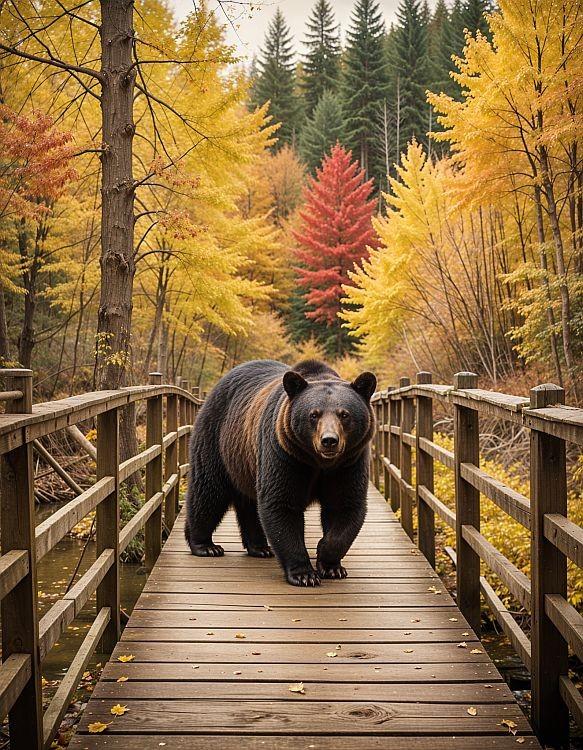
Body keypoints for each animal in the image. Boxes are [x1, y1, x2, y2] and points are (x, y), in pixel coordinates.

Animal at [184, 359, 377, 586]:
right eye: (314, 414)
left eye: (344, 414)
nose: (329, 440)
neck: (319, 462)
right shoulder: (285, 455)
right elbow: (281, 504)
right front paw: (304, 574)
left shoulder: (348, 463)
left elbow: (345, 506)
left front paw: (330, 563)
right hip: (217, 439)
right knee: (208, 491)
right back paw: (205, 545)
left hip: (245, 461)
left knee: (249, 502)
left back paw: (260, 548)